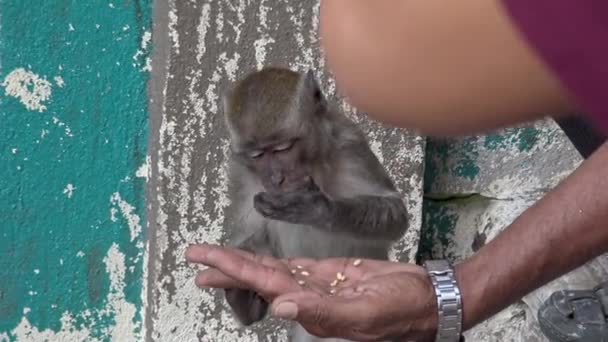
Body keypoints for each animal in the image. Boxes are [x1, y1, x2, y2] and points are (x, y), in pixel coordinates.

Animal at [218, 67, 408, 342]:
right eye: (257, 154)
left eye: (283, 148)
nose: (275, 178)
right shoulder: (240, 172)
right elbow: (256, 231)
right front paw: (242, 295)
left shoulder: (350, 145)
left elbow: (395, 213)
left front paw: (319, 210)